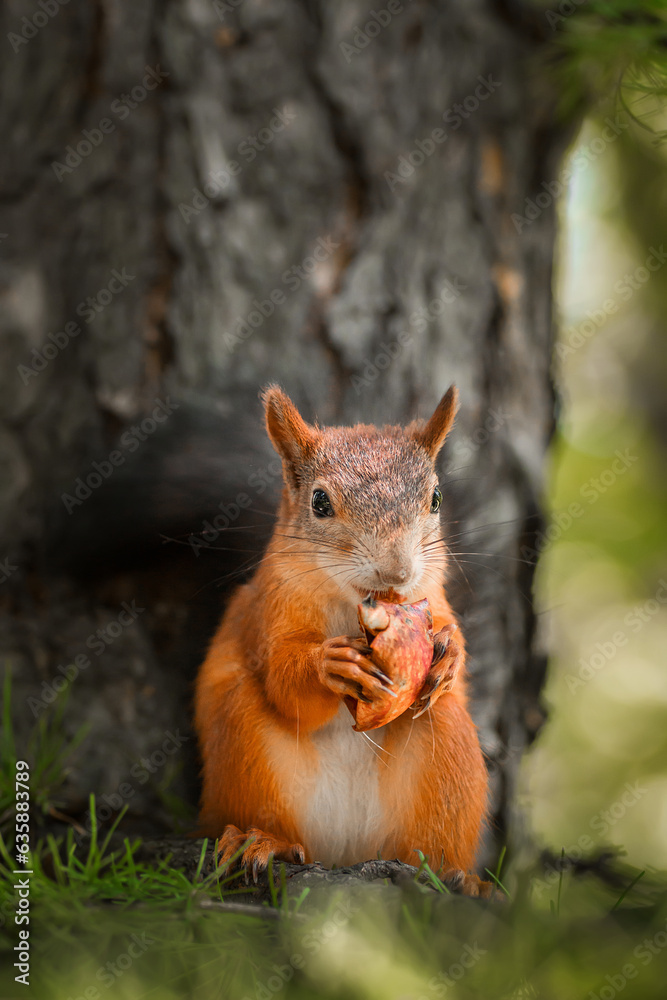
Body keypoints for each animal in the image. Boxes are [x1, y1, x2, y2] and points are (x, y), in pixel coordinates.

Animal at [194, 385, 490, 894]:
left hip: (446, 753)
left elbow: (454, 639)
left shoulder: (434, 597)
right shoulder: (267, 614)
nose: (397, 572)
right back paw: (262, 840)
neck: (348, 604)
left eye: (435, 497)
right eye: (319, 502)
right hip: (245, 748)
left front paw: (451, 654)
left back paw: (459, 875)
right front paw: (329, 666)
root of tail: (344, 852)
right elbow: (284, 685)